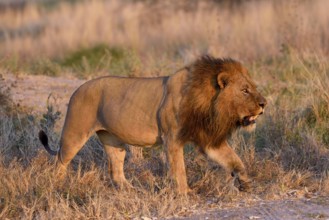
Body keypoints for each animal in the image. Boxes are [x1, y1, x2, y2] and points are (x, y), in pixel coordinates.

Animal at [38, 55, 266, 194]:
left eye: (252, 87)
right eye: (245, 90)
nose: (264, 104)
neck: (209, 103)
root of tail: (77, 89)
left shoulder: (209, 140)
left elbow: (234, 160)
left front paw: (246, 183)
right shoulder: (172, 139)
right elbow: (179, 169)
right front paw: (184, 194)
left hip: (113, 141)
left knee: (116, 171)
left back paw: (132, 191)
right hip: (74, 134)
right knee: (60, 161)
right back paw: (56, 186)